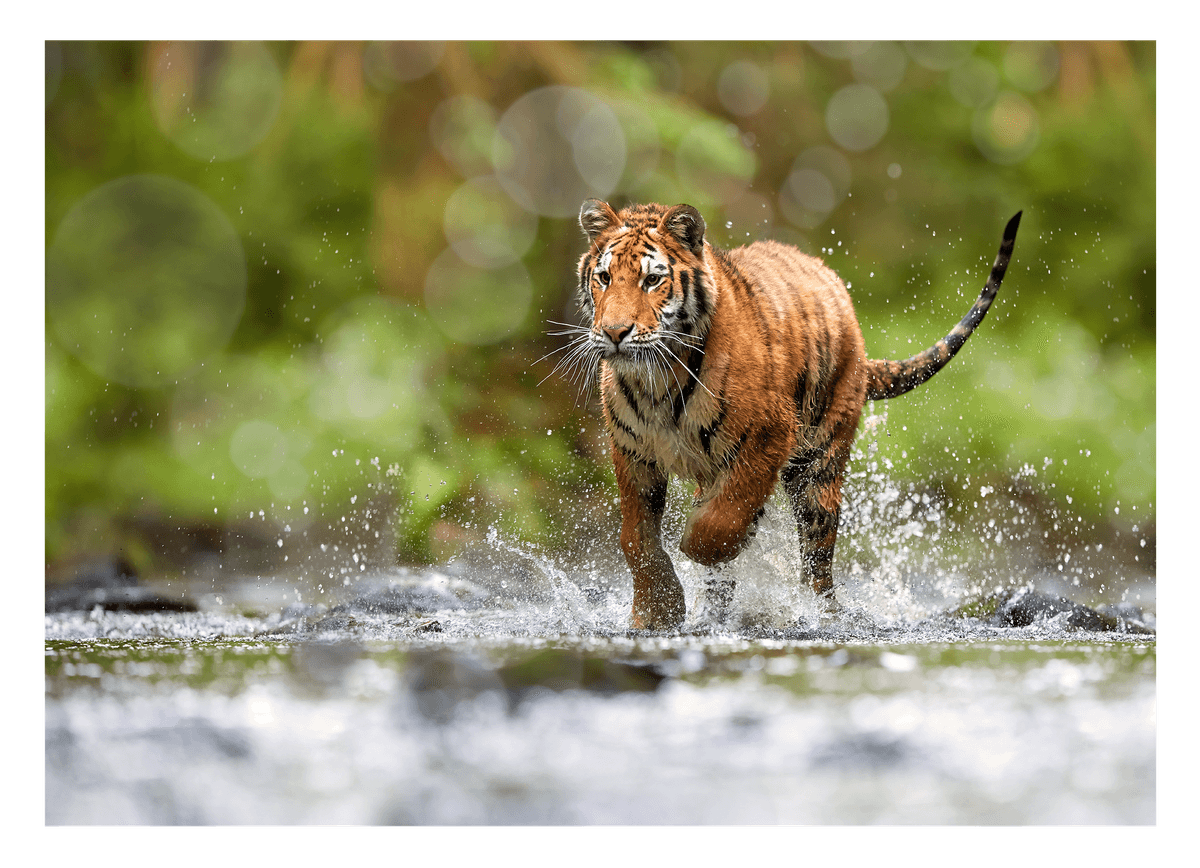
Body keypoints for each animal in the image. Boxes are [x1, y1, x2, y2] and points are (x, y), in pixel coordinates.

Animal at [564, 198, 1021, 630]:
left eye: (652, 280)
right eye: (604, 278)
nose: (614, 333)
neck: (657, 380)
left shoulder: (769, 435)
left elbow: (721, 523)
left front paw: (693, 540)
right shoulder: (633, 453)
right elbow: (636, 539)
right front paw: (657, 611)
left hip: (818, 466)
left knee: (817, 563)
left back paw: (820, 614)